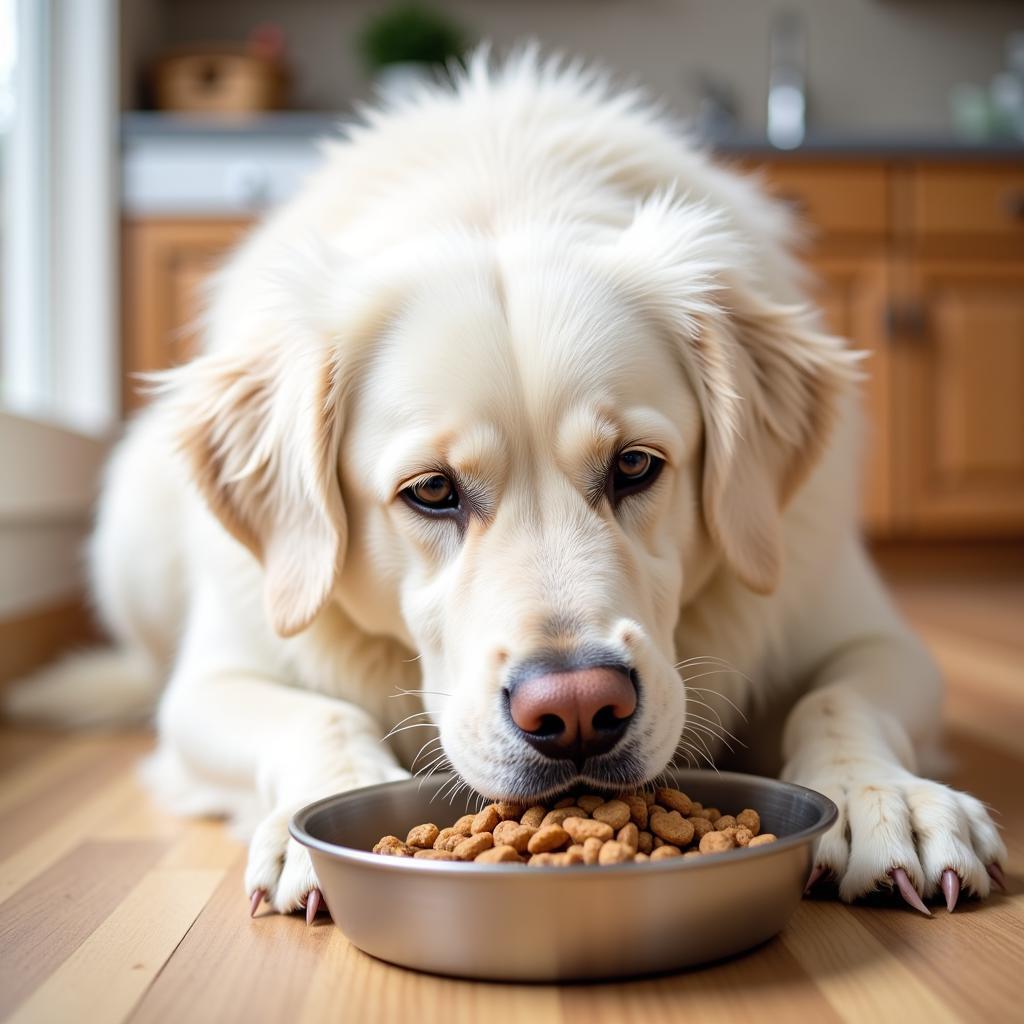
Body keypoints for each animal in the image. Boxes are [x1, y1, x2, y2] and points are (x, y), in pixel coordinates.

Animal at [6, 49, 999, 921]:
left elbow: (842, 697)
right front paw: (311, 828)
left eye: (635, 465)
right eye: (432, 491)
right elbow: (315, 717)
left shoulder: (865, 632)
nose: (580, 710)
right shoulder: (215, 680)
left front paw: (888, 800)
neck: (503, 186)